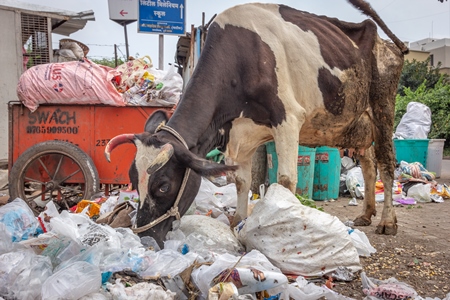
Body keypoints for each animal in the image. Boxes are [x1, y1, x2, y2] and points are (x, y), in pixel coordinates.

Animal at [105, 0, 408, 246]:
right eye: (133, 181)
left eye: (163, 186)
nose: (145, 237)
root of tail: (389, 44)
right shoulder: (240, 134)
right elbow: (242, 180)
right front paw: (238, 222)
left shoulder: (288, 118)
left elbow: (285, 180)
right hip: (357, 124)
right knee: (368, 164)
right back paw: (366, 214)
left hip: (383, 107)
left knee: (386, 163)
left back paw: (387, 221)